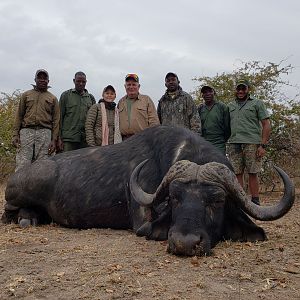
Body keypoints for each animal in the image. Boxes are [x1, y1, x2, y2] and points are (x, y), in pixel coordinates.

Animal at [1, 126, 294, 255]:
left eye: (218, 200)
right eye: (174, 199)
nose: (184, 243)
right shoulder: (143, 221)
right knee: (9, 211)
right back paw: (26, 218)